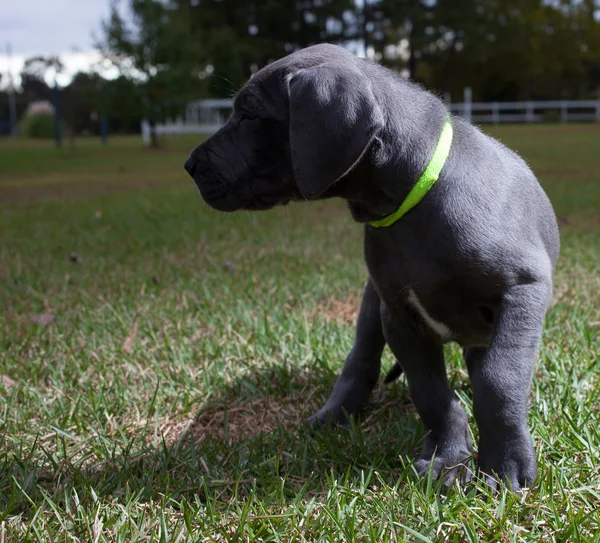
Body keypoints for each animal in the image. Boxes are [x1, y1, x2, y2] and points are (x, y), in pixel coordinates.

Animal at [185, 44, 560, 490]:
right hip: (371, 304)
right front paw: (447, 458)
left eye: (250, 115)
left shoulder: (523, 289)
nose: (190, 166)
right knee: (360, 359)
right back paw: (334, 414)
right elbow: (432, 394)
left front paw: (504, 465)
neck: (414, 203)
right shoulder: (399, 315)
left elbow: (499, 381)